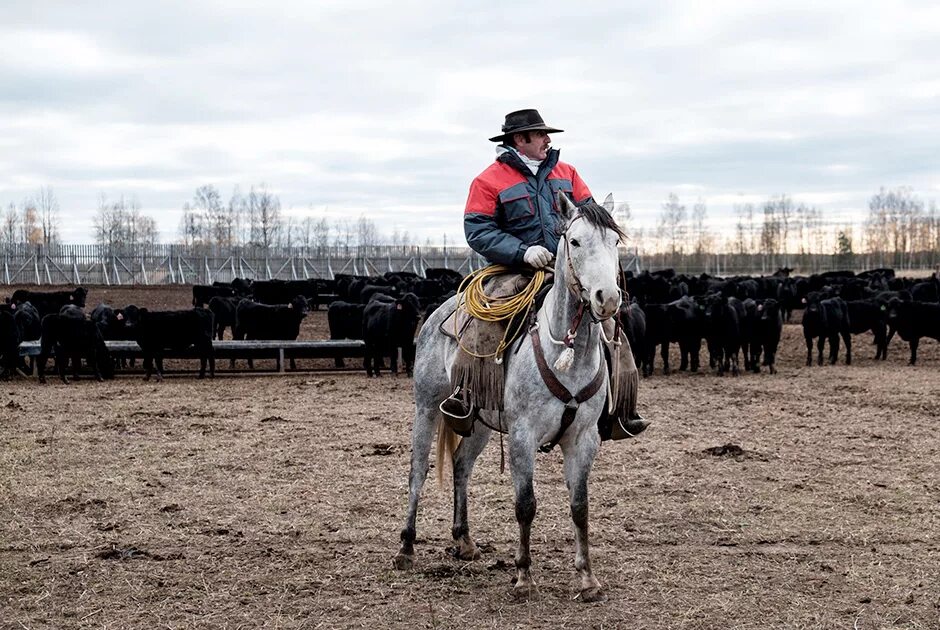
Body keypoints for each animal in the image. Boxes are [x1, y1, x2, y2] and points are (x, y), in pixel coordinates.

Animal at [392, 191, 628, 604]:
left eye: (615, 242)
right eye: (575, 241)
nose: (608, 298)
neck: (566, 353)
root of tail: (438, 313)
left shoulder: (584, 439)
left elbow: (580, 506)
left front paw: (587, 579)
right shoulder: (522, 436)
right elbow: (525, 504)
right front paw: (524, 576)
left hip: (479, 423)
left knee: (461, 466)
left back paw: (464, 541)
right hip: (426, 408)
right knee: (417, 472)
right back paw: (406, 548)